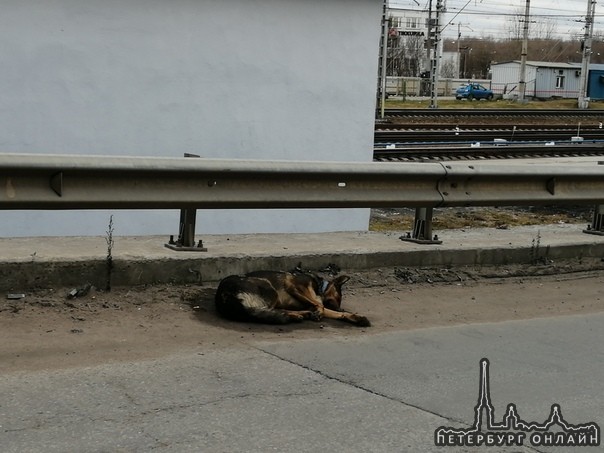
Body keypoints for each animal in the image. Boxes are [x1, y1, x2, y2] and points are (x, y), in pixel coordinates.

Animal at [215, 270, 370, 326]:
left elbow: (328, 310)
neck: (320, 287)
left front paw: (354, 317)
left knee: (276, 311)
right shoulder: (294, 287)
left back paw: (301, 315)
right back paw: (298, 315)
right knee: (274, 311)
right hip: (270, 289)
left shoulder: (309, 301)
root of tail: (223, 295)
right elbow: (320, 305)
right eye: (338, 297)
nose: (340, 308)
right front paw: (319, 312)